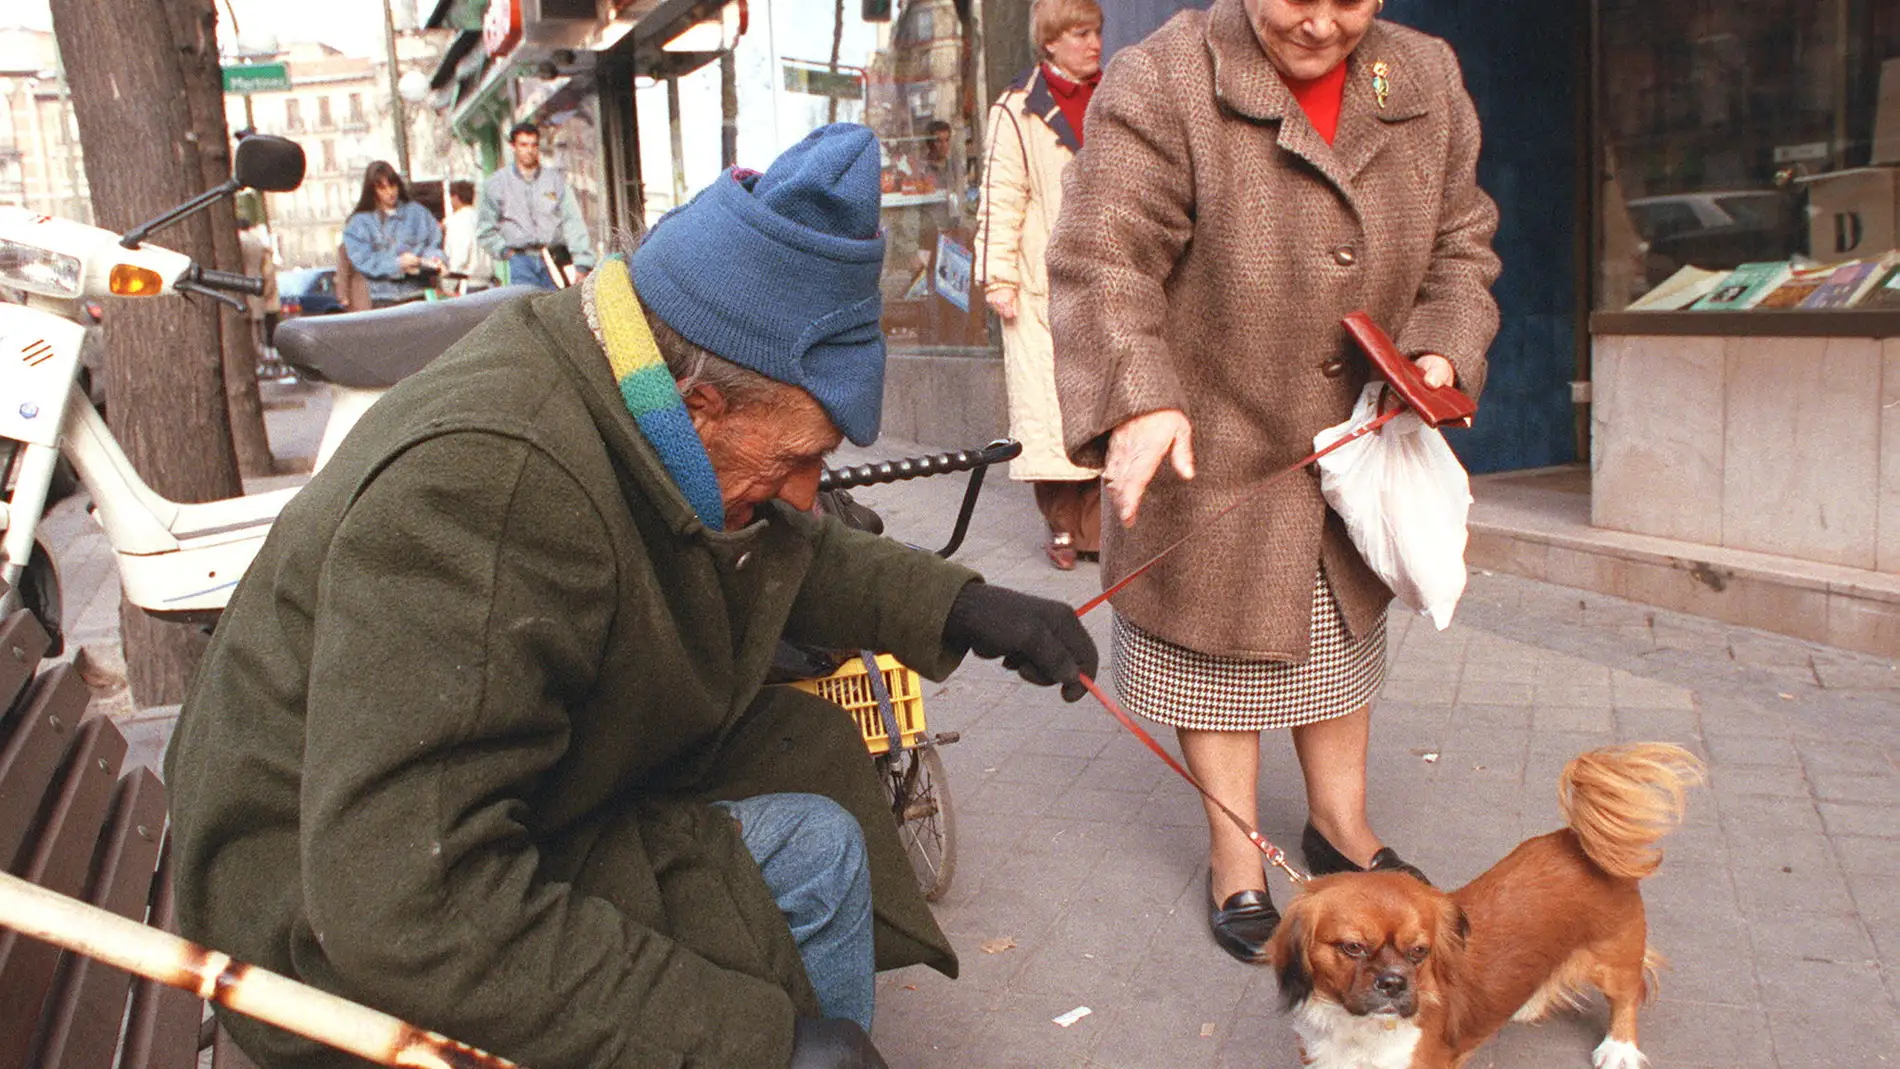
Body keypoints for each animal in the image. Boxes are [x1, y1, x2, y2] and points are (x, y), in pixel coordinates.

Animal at [1269, 744, 1702, 1069]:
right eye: (1353, 947)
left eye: (1419, 952)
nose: (1394, 982)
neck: (1358, 1030)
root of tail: (1579, 843)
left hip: (1614, 959)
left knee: (1627, 997)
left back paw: (1619, 1049)